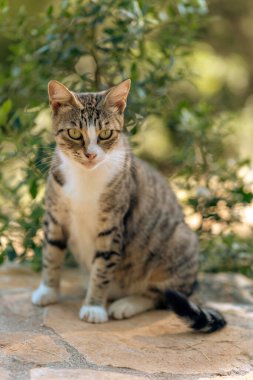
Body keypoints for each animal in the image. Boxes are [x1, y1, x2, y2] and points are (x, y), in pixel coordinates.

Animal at [30, 80, 226, 332]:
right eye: (74, 133)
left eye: (105, 134)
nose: (90, 155)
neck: (85, 177)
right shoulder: (55, 217)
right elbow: (51, 254)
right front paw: (48, 291)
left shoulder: (112, 224)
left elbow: (102, 268)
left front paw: (94, 307)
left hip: (180, 241)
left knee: (162, 295)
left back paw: (126, 304)